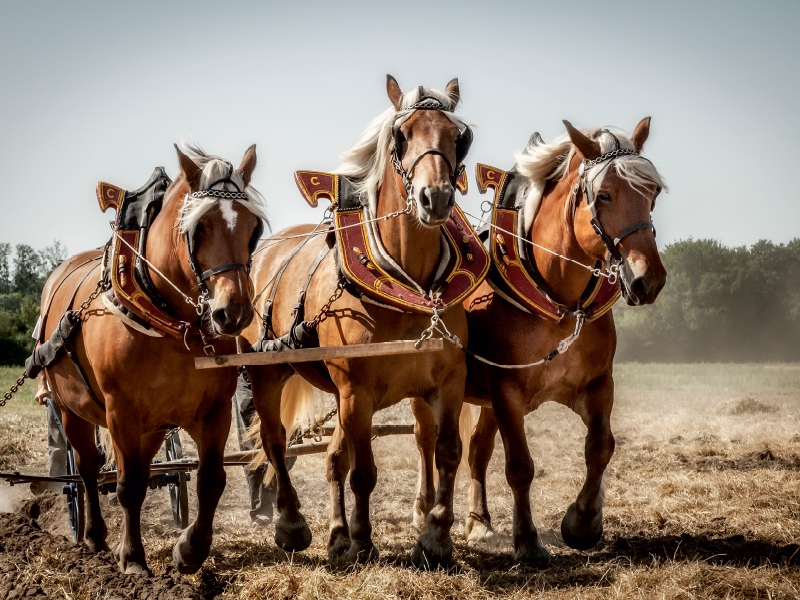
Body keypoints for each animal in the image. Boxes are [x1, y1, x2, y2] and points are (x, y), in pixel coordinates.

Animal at [32, 148, 266, 576]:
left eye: (252, 227)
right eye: (199, 227)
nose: (233, 313)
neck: (170, 316)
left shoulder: (214, 411)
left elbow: (210, 479)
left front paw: (190, 550)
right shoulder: (120, 410)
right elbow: (129, 486)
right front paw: (133, 559)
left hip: (154, 425)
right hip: (71, 409)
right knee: (88, 471)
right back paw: (94, 536)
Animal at [242, 75, 476, 568]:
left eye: (458, 136)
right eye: (401, 135)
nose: (436, 197)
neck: (406, 281)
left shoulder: (447, 381)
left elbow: (446, 452)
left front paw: (435, 538)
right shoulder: (356, 391)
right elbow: (364, 472)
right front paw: (365, 542)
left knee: (333, 459)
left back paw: (336, 535)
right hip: (268, 373)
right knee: (275, 442)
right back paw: (292, 525)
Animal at [412, 117, 668, 564]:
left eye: (651, 193)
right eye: (604, 194)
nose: (646, 278)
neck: (557, 295)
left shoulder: (597, 385)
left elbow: (600, 447)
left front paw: (582, 522)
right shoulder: (507, 391)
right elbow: (520, 466)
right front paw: (528, 540)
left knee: (477, 449)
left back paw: (479, 523)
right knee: (427, 442)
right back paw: (424, 509)